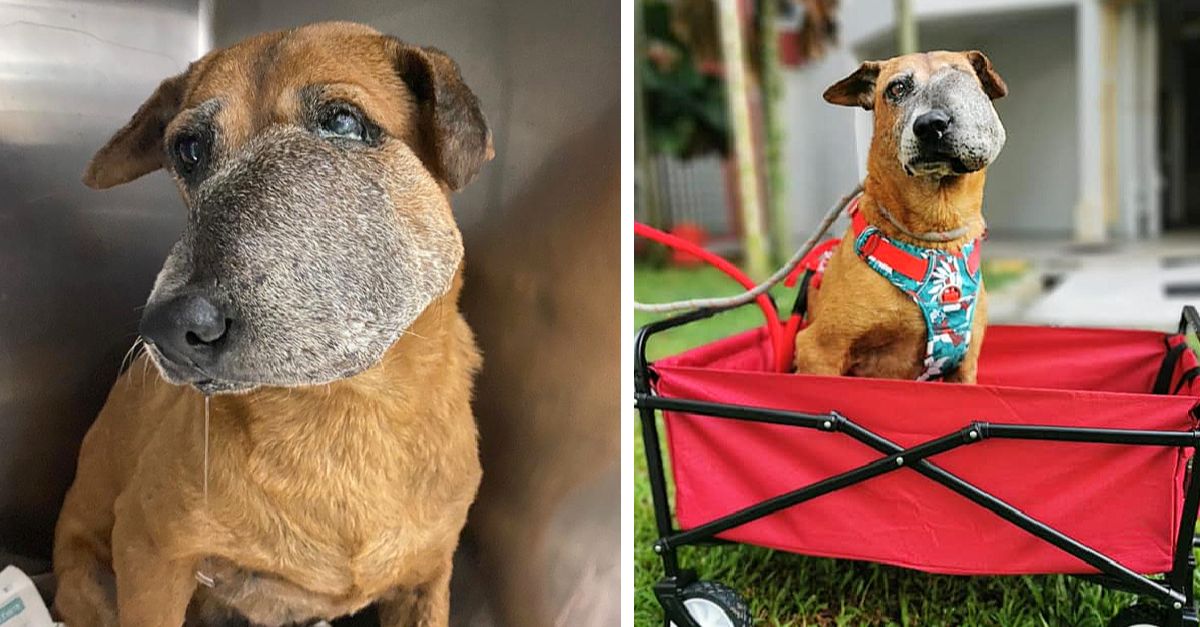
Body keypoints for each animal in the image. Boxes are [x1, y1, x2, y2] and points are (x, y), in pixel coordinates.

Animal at [51, 20, 492, 624]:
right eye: (188, 150)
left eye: (343, 122)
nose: (167, 327)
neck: (347, 415)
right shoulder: (149, 549)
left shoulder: (426, 578)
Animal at [792, 51, 1008, 379]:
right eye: (897, 89)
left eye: (961, 79)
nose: (931, 124)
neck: (936, 234)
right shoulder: (817, 351)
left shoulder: (964, 364)